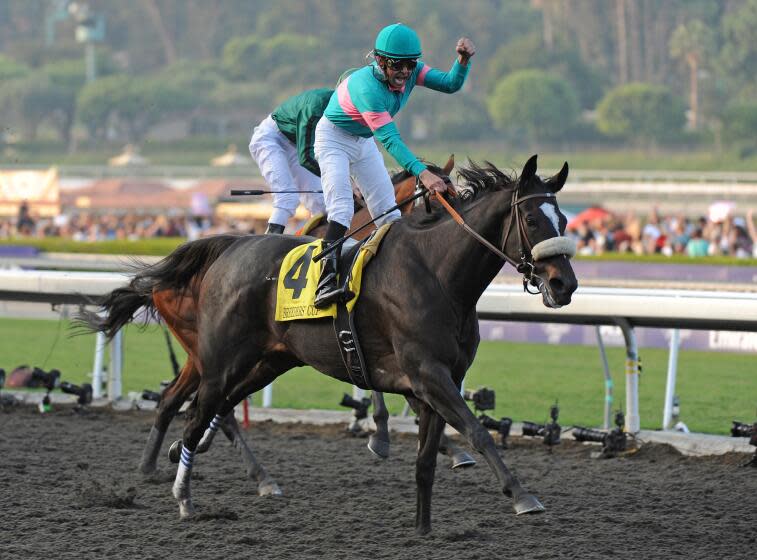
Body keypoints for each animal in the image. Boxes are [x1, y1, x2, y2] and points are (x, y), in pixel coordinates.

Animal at [79, 154, 576, 532]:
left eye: (565, 219)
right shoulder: (427, 374)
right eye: (532, 219)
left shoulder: (442, 378)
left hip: (267, 362)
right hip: (218, 360)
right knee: (197, 414)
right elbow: (476, 431)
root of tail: (228, 246)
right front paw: (522, 495)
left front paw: (423, 526)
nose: (564, 284)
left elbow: (427, 457)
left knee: (205, 408)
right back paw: (183, 493)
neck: (437, 273)